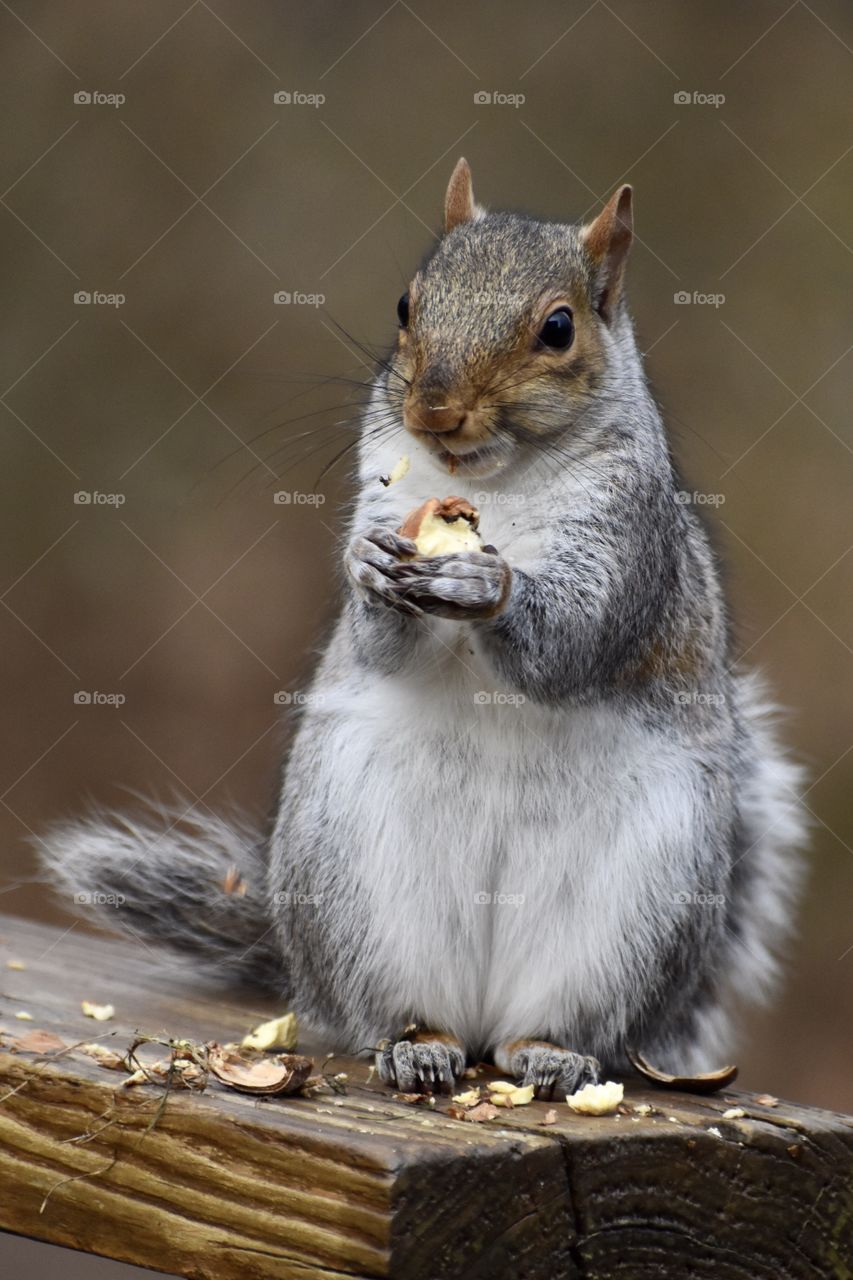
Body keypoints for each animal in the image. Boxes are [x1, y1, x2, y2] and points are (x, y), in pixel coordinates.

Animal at [43, 160, 804, 1100]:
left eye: (558, 329)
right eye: (406, 305)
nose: (434, 411)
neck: (495, 485)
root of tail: (481, 1016)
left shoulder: (630, 545)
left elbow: (572, 643)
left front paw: (486, 585)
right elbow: (382, 641)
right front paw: (369, 573)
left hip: (640, 910)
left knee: (560, 1023)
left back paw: (546, 1053)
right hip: (354, 885)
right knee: (393, 1010)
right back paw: (417, 1044)